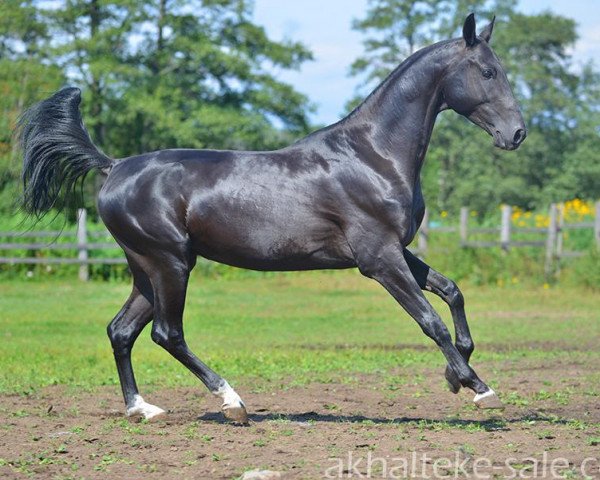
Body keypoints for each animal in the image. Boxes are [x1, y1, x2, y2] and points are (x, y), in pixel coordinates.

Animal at [18, 13, 524, 422]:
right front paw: (478, 387)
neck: (372, 155)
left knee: (121, 331)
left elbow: (452, 292)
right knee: (167, 334)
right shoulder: (378, 259)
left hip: (147, 269)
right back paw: (232, 402)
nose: (517, 133)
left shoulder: (396, 250)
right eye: (487, 71)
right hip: (170, 263)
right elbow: (429, 319)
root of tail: (113, 166)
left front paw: (455, 374)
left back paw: (143, 409)